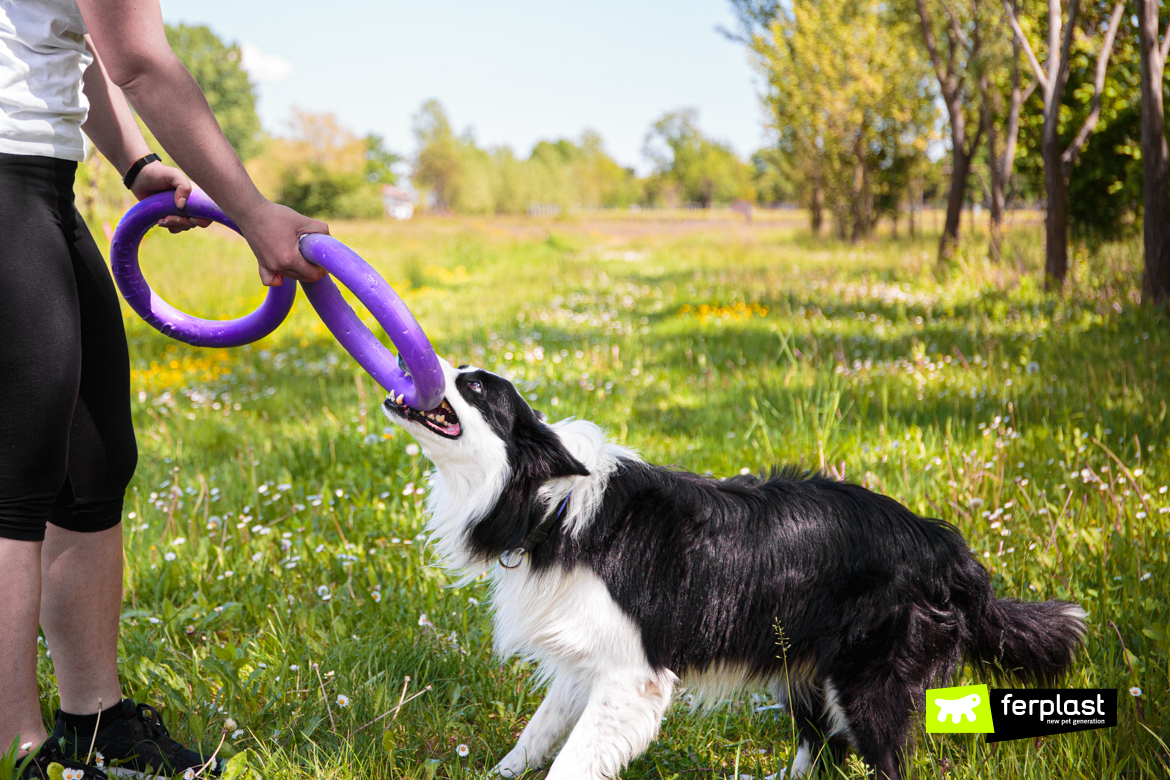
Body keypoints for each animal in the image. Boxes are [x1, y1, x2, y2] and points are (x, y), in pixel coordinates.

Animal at [383, 362, 1085, 780]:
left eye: (476, 388)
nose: (426, 362)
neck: (548, 505)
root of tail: (948, 548)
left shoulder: (632, 675)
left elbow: (572, 760)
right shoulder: (587, 659)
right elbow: (536, 736)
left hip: (867, 681)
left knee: (878, 759)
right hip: (804, 664)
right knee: (819, 748)